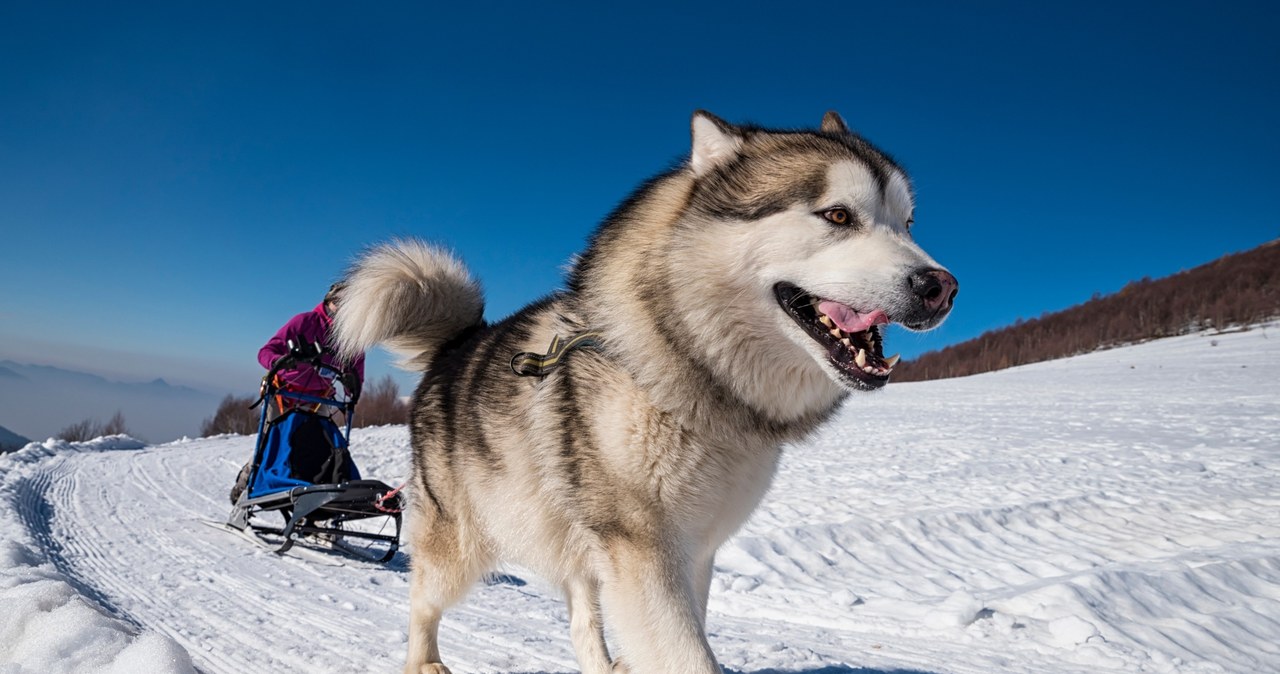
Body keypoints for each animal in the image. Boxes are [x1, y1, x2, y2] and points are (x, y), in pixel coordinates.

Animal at [335, 111, 957, 674]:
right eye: (837, 214)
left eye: (907, 224)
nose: (942, 287)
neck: (689, 379)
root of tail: (458, 343)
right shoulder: (644, 554)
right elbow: (689, 657)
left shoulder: (694, 553)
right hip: (462, 545)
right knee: (423, 603)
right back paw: (425, 662)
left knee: (581, 620)